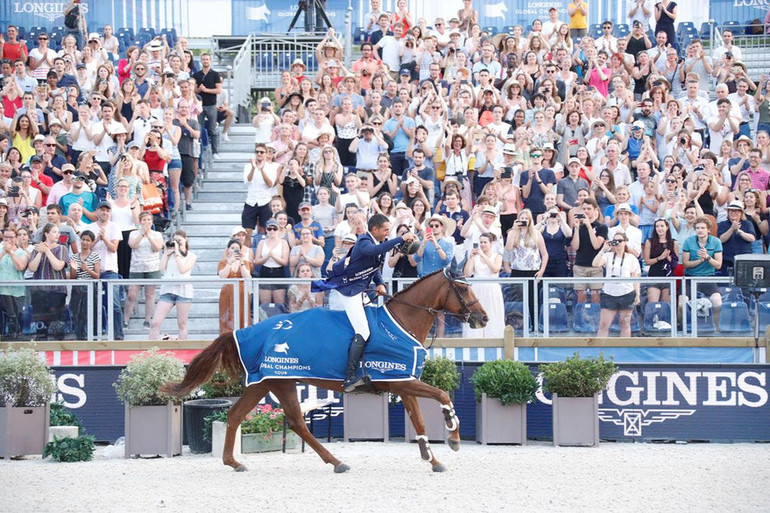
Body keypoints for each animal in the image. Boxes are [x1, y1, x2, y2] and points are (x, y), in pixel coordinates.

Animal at [161, 268, 486, 472]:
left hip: (269, 383)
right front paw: (454, 439)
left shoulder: (402, 382)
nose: (483, 318)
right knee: (290, 421)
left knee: (244, 416)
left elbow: (419, 420)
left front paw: (432, 459)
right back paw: (335, 462)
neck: (401, 322)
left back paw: (236, 462)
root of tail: (247, 331)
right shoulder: (400, 380)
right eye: (463, 287)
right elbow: (443, 395)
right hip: (276, 381)